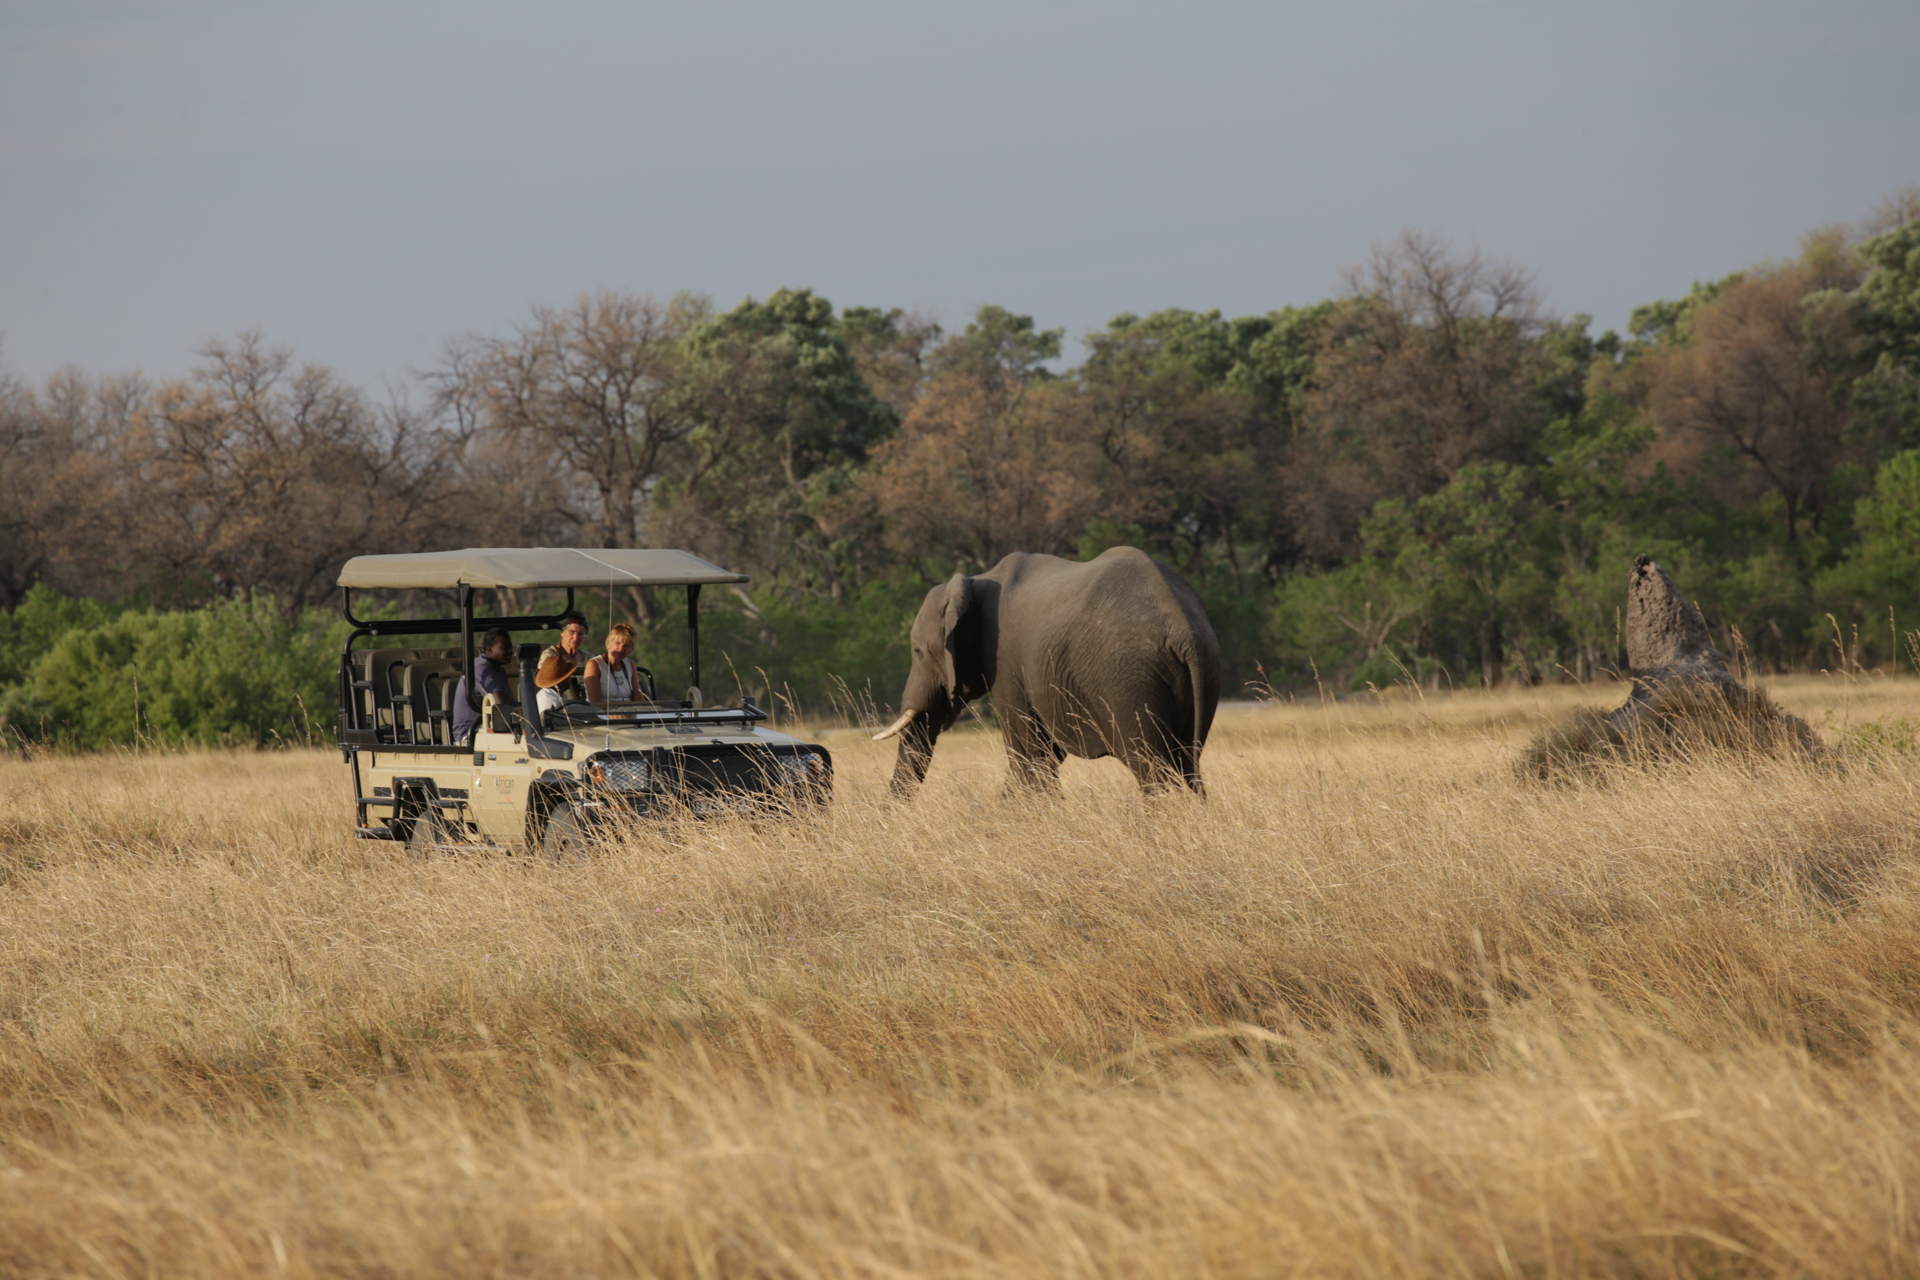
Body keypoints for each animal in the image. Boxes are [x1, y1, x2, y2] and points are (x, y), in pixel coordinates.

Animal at [871, 545, 1213, 794]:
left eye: (917, 651)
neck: (974, 581)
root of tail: (1184, 631)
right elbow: (1044, 754)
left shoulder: (1005, 660)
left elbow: (1029, 754)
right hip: (1201, 671)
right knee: (1187, 763)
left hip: (1131, 680)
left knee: (1151, 767)